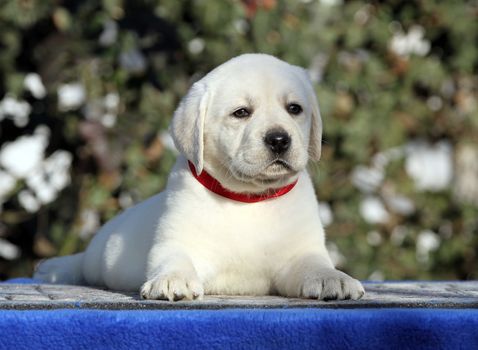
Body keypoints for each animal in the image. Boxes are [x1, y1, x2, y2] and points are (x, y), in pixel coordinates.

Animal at [35, 54, 364, 300]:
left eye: (294, 109)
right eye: (241, 113)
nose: (279, 140)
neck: (249, 199)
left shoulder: (301, 252)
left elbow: (315, 265)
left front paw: (334, 278)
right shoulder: (177, 241)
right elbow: (174, 259)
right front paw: (171, 280)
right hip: (98, 259)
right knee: (81, 265)